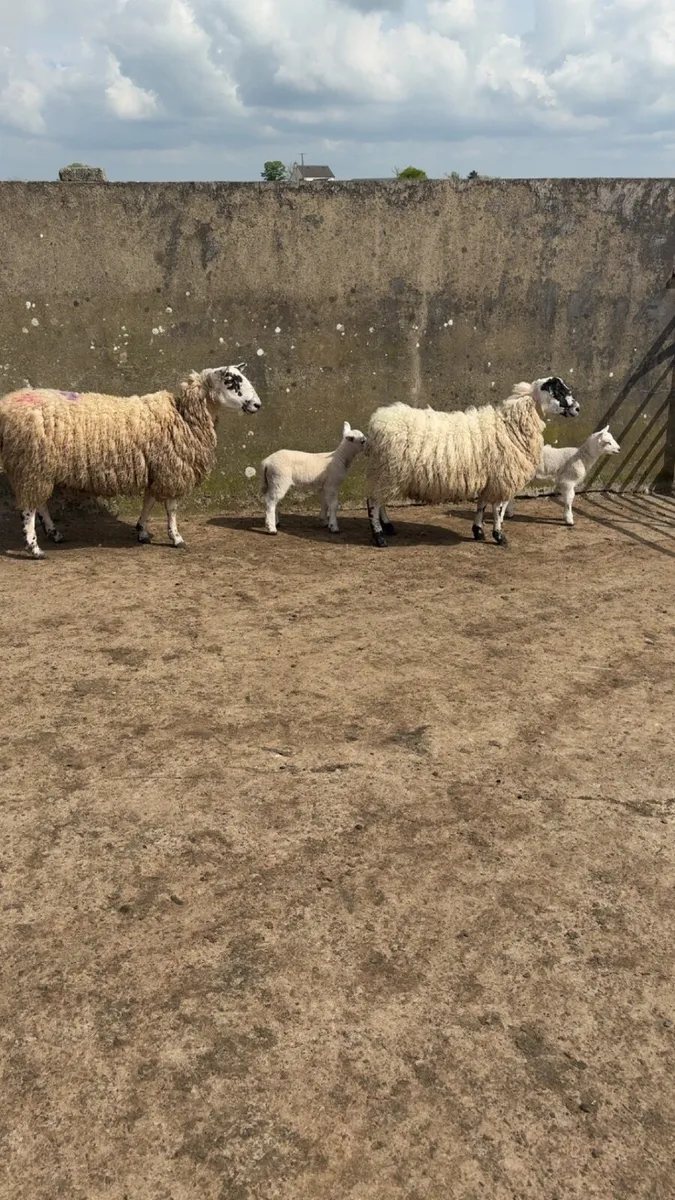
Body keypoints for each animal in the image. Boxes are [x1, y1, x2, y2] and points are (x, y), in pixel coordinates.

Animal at [0, 365, 261, 559]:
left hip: (39, 467)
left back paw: (53, 533)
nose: (258, 404)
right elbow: (171, 508)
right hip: (31, 464)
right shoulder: (172, 470)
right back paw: (34, 548)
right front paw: (176, 538)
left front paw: (142, 531)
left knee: (39, 503)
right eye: (232, 381)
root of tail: (6, 404)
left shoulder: (156, 469)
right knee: (28, 509)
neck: (184, 415)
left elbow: (149, 502)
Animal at [365, 376, 580, 548]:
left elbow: (482, 505)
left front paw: (478, 531)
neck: (510, 426)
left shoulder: (490, 479)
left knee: (380, 501)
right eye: (559, 391)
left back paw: (388, 526)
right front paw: (499, 536)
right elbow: (497, 510)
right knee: (373, 502)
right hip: (387, 471)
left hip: (386, 472)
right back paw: (379, 536)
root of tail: (376, 421)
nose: (578, 408)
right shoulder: (502, 479)